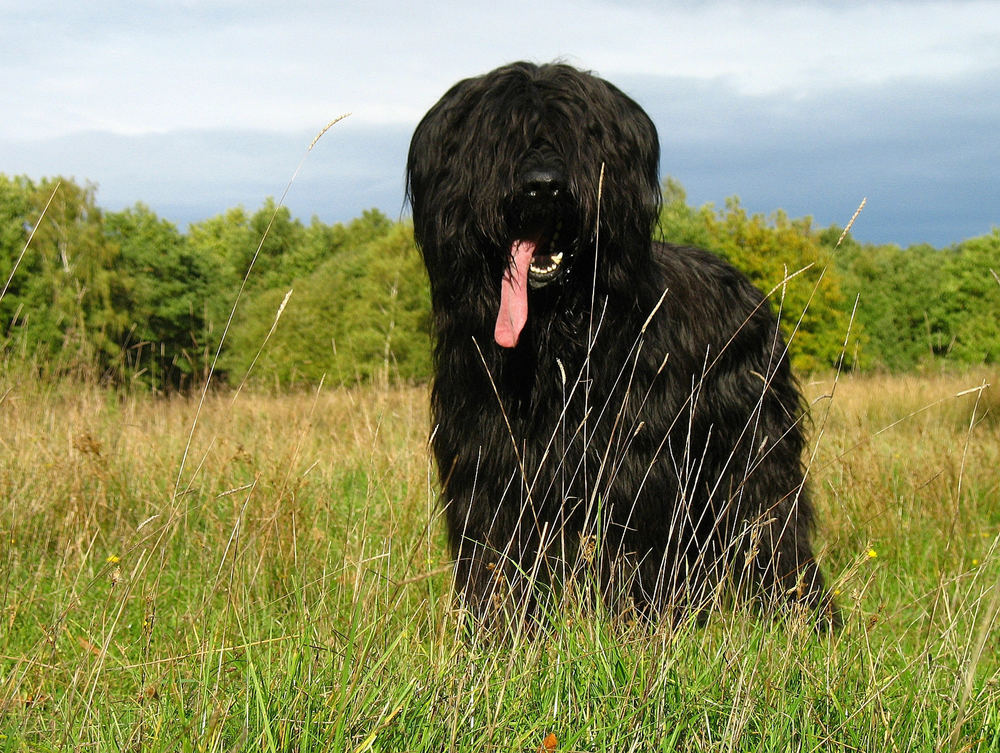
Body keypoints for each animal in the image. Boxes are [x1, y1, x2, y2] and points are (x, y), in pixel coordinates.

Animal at [406, 61, 836, 628]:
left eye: (579, 137)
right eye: (500, 138)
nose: (542, 188)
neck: (552, 347)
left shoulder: (632, 472)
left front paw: (628, 630)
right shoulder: (489, 470)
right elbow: (494, 561)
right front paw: (495, 634)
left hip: (752, 452)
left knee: (772, 527)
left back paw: (802, 616)